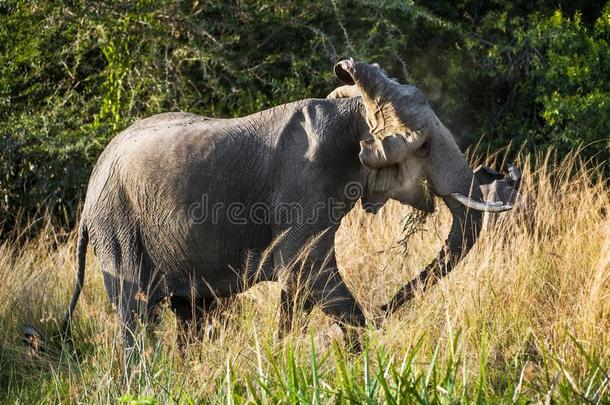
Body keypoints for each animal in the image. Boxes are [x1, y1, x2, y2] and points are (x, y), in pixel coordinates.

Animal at [54, 58, 516, 358]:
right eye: (423, 146)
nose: (384, 309)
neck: (353, 113)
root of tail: (90, 191)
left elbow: (297, 287)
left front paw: (283, 355)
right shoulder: (304, 187)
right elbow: (306, 269)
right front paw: (358, 358)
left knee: (191, 315)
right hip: (118, 225)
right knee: (136, 314)